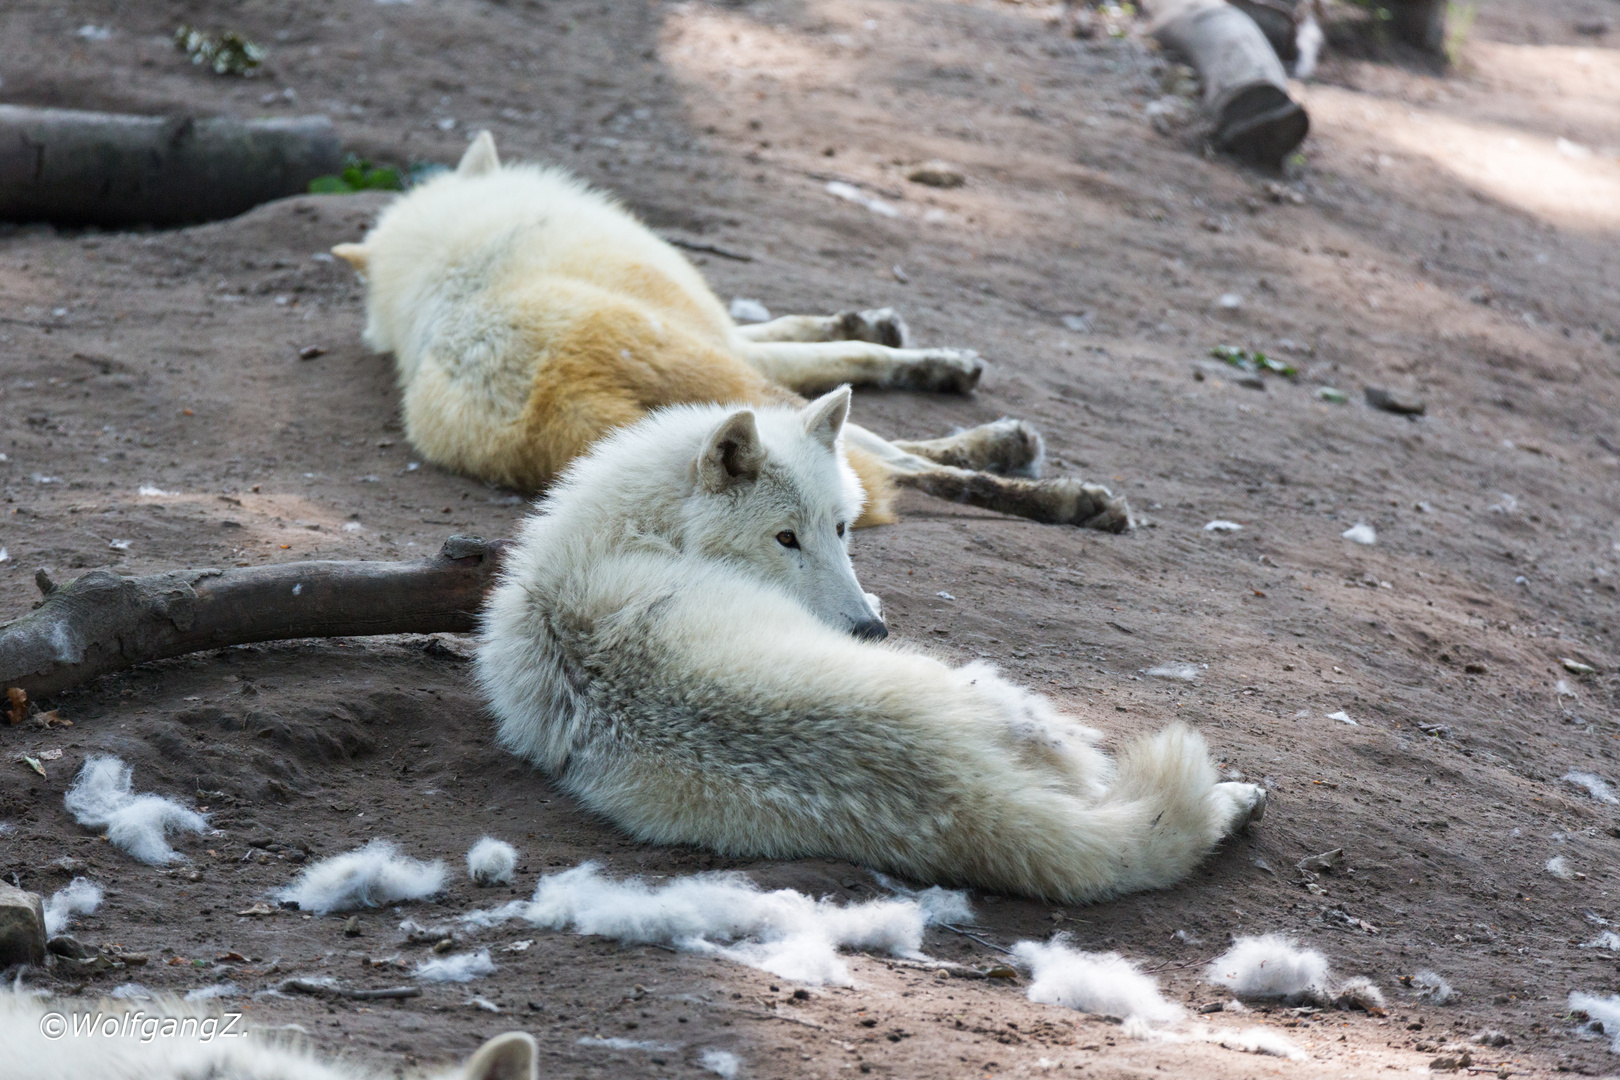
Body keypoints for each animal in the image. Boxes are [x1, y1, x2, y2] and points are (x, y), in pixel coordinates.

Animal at [335, 131, 1134, 531]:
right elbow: (846, 352)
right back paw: (1053, 485)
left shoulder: (730, 333)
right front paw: (938, 363)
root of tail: (543, 396)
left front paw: (884, 323)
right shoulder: (726, 340)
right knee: (899, 467)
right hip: (737, 391)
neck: (454, 253)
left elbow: (811, 329)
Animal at [479, 388, 1263, 906]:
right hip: (1006, 697)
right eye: (785, 538)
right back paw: (1238, 797)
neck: (631, 533)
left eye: (841, 528)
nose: (869, 632)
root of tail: (957, 788)